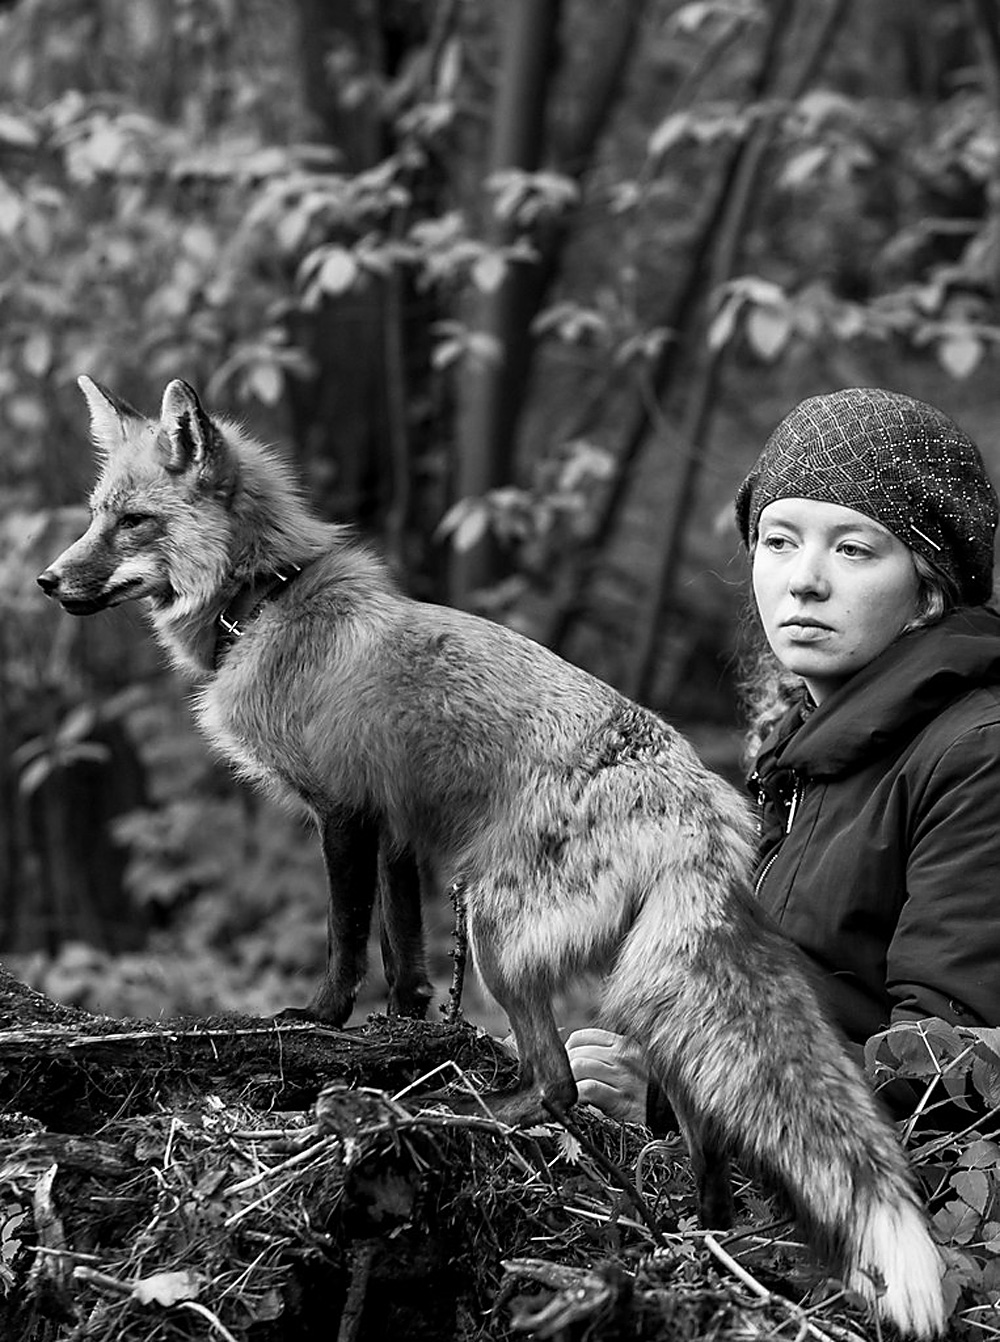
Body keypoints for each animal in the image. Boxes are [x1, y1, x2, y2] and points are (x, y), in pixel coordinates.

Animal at [38, 375, 944, 1331]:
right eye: (96, 515)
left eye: (133, 521)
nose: (48, 580)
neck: (269, 600)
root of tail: (702, 801)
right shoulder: (396, 831)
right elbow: (401, 953)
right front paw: (404, 1025)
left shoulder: (344, 812)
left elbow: (344, 938)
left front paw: (319, 1017)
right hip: (642, 997)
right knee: (706, 1139)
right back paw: (702, 1242)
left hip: (501, 932)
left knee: (558, 1085)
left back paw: (475, 1111)